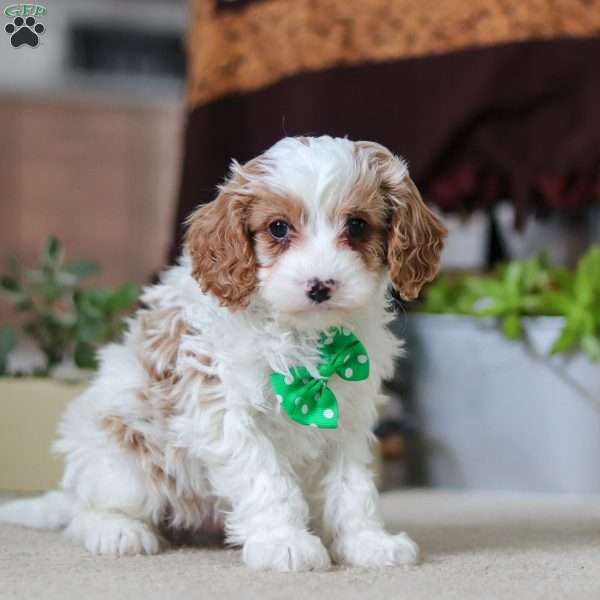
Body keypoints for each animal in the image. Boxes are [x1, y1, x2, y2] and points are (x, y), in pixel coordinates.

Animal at [0, 136, 446, 572]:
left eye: (356, 225)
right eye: (278, 228)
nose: (321, 285)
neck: (303, 335)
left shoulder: (348, 416)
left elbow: (353, 487)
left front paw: (367, 542)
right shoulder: (227, 413)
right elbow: (267, 480)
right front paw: (283, 542)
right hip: (123, 459)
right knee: (88, 511)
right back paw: (116, 530)